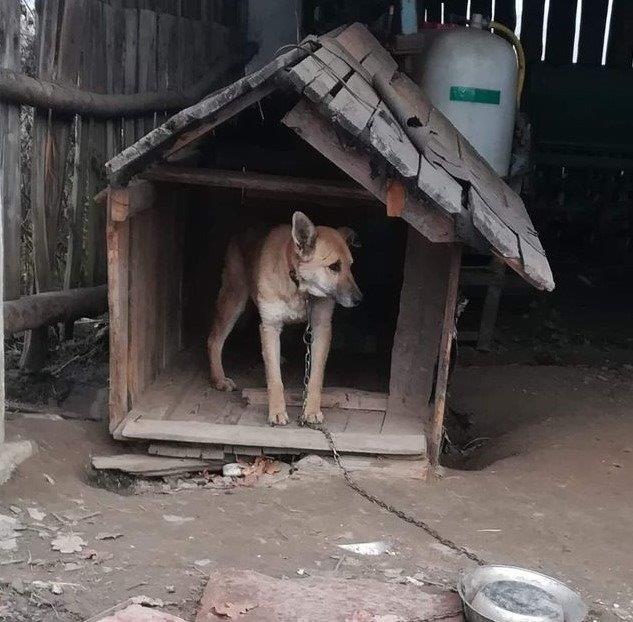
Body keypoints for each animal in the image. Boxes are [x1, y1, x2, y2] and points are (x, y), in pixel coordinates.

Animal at [207, 212, 360, 426]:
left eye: (350, 266)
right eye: (334, 267)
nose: (359, 299)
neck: (298, 285)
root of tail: (244, 230)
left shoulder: (321, 328)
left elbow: (315, 378)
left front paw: (312, 410)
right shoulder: (270, 325)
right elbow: (274, 380)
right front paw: (277, 411)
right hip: (234, 300)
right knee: (214, 340)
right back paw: (219, 379)